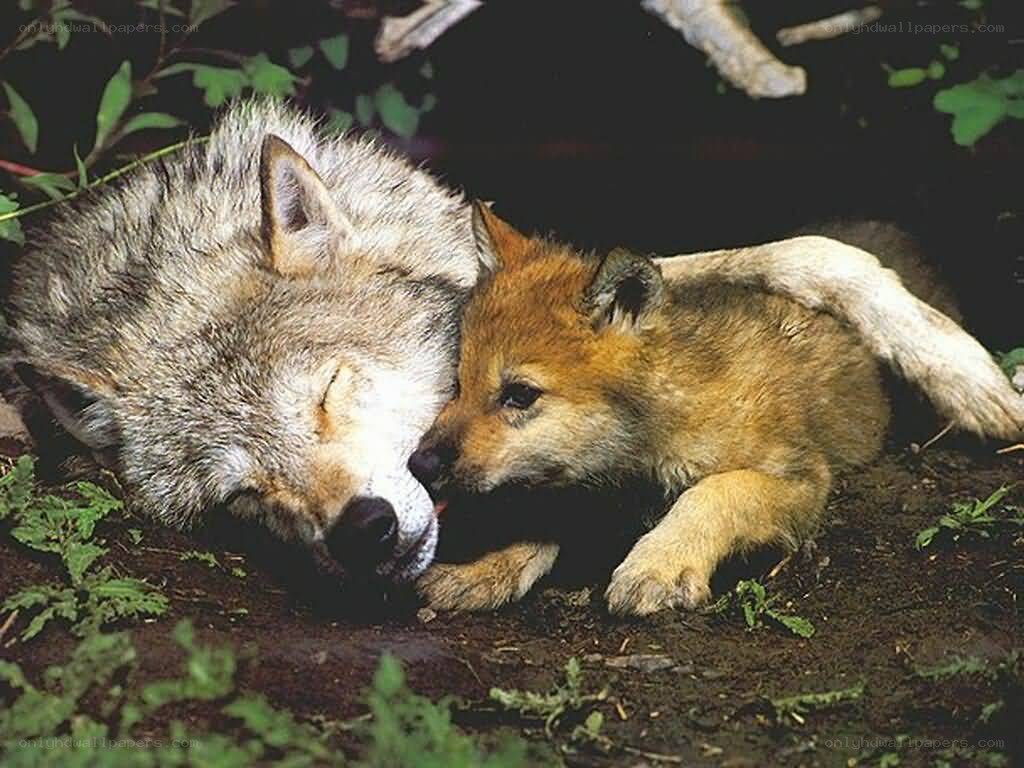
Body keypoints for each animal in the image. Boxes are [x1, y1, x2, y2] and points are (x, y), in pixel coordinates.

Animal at [409, 204, 1024, 614]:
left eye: (519, 394)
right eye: (458, 383)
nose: (419, 464)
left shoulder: (801, 478)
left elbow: (714, 493)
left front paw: (657, 563)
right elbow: (544, 514)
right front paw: (483, 571)